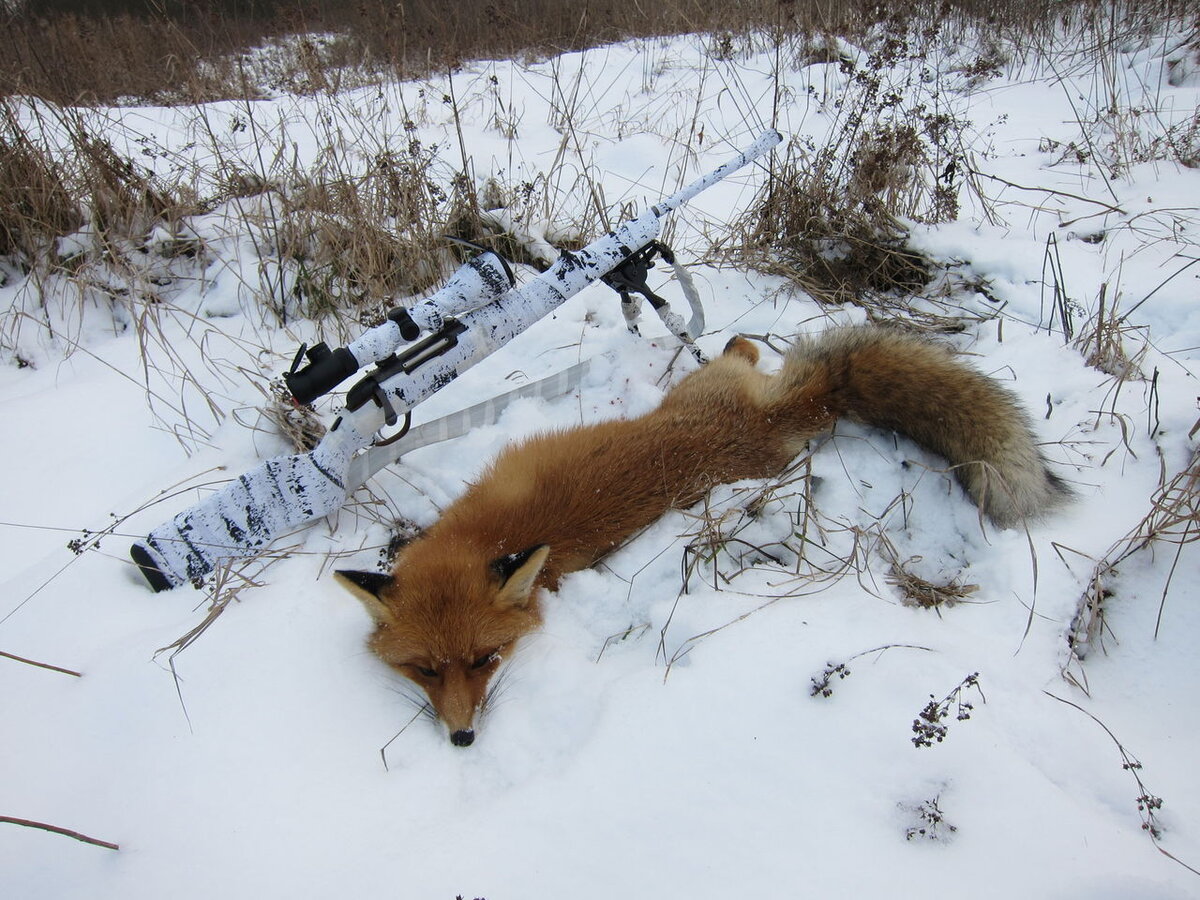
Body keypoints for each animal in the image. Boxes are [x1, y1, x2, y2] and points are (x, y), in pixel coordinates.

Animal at [336, 326, 1070, 748]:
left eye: (487, 660)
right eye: (424, 669)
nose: (463, 739)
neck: (478, 536)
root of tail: (788, 410)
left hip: (698, 391)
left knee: (740, 350)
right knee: (748, 353)